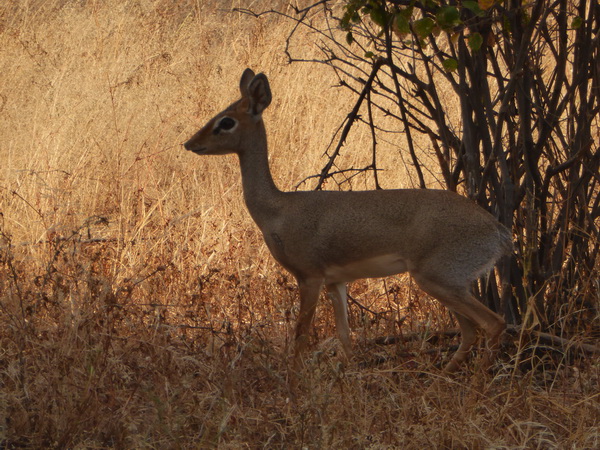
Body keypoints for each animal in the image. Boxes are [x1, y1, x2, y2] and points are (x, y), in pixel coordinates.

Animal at [184, 68, 510, 374]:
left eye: (226, 121)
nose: (190, 143)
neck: (277, 210)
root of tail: (497, 231)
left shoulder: (309, 276)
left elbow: (301, 335)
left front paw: (294, 382)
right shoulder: (336, 281)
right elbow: (345, 338)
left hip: (438, 278)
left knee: (494, 323)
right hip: (448, 283)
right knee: (471, 332)